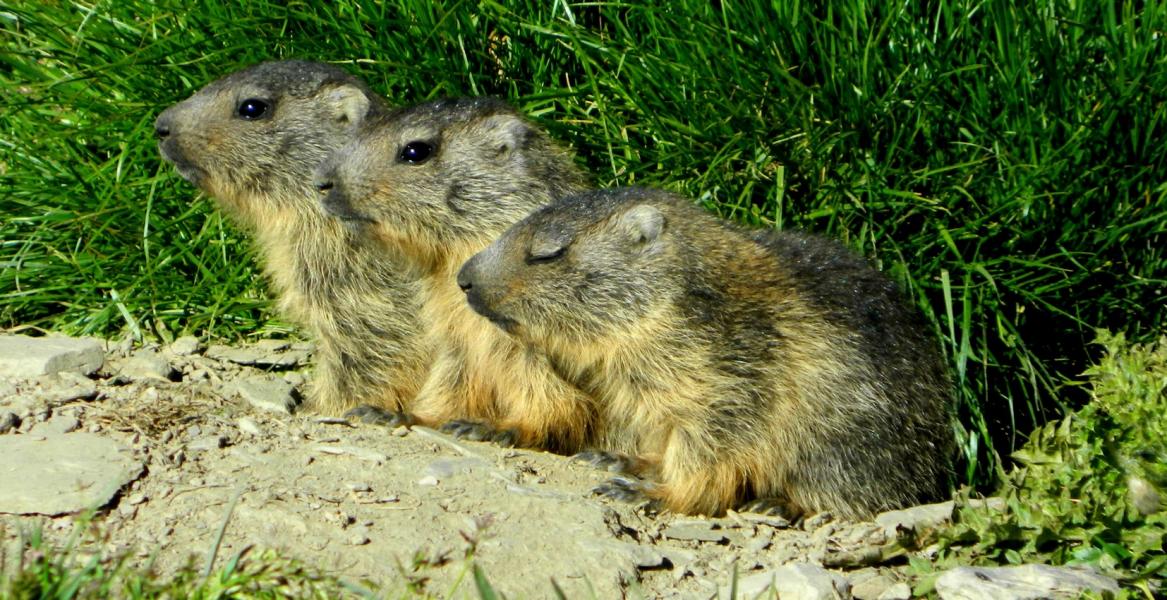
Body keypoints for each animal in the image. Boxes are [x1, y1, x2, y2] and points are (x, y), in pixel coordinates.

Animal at [312, 98, 596, 452]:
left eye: (415, 151)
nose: (321, 182)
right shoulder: (452, 328)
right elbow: (453, 378)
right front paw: (396, 413)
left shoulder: (532, 345)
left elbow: (551, 395)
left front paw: (498, 428)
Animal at [456, 186, 955, 519]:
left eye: (549, 252)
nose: (463, 278)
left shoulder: (730, 367)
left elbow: (712, 443)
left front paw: (652, 494)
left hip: (845, 440)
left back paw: (780, 503)